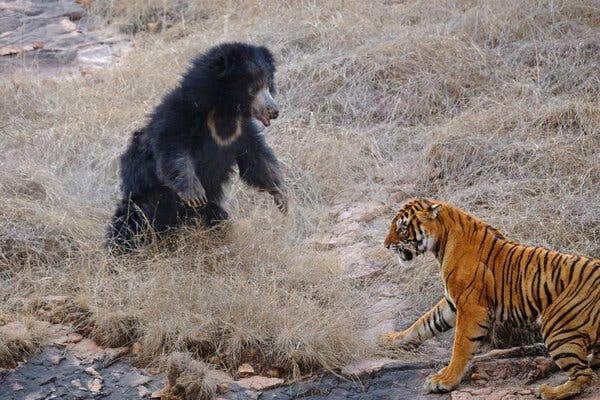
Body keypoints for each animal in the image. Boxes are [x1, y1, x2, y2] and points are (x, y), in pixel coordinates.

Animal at [106, 43, 288, 250]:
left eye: (268, 84)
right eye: (253, 88)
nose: (274, 111)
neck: (223, 112)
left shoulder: (243, 132)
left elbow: (257, 161)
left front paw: (283, 198)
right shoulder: (179, 117)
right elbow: (173, 151)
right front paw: (195, 194)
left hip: (206, 210)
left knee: (218, 220)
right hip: (147, 199)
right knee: (130, 225)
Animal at [380, 198, 600, 398]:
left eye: (402, 228)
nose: (386, 245)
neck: (442, 242)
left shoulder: (470, 307)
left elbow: (460, 346)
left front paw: (444, 380)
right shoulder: (451, 303)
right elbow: (423, 323)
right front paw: (392, 339)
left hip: (558, 327)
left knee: (585, 376)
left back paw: (549, 391)